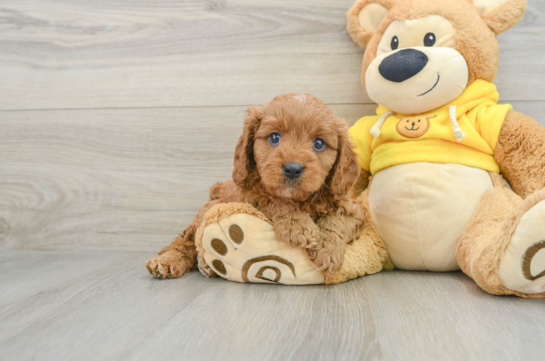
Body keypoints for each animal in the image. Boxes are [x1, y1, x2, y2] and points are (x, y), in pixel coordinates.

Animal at [147, 93, 364, 278]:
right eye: (274, 137)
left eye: (319, 143)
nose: (293, 169)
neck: (299, 200)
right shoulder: (250, 195)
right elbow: (273, 200)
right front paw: (296, 225)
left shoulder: (352, 208)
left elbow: (338, 221)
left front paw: (327, 249)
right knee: (184, 242)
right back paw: (167, 262)